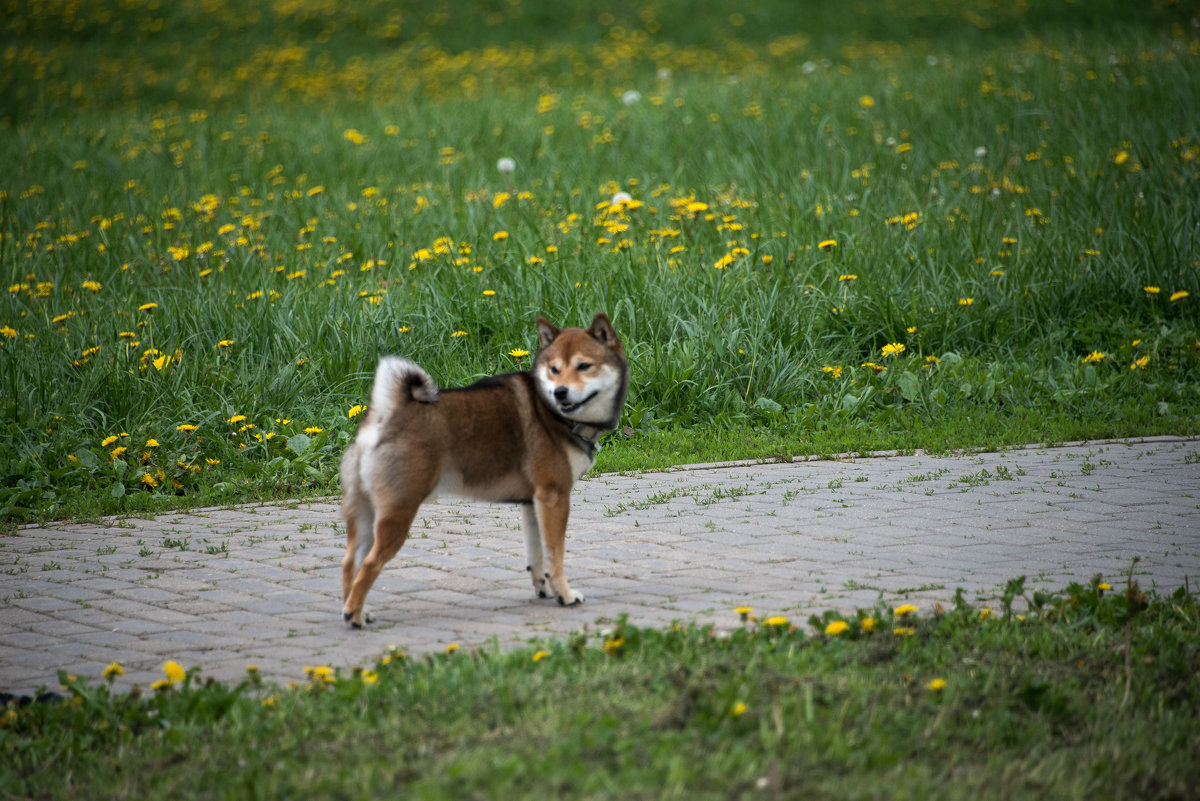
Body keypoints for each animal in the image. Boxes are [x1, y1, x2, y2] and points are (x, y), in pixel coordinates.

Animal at [338, 311, 628, 623]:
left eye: (584, 366)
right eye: (554, 369)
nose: (560, 392)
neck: (550, 412)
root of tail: (384, 415)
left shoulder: (533, 502)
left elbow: (537, 555)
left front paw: (544, 588)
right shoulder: (554, 497)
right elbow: (555, 555)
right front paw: (565, 595)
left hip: (365, 513)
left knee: (350, 563)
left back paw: (354, 609)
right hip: (398, 512)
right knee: (369, 564)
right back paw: (354, 615)